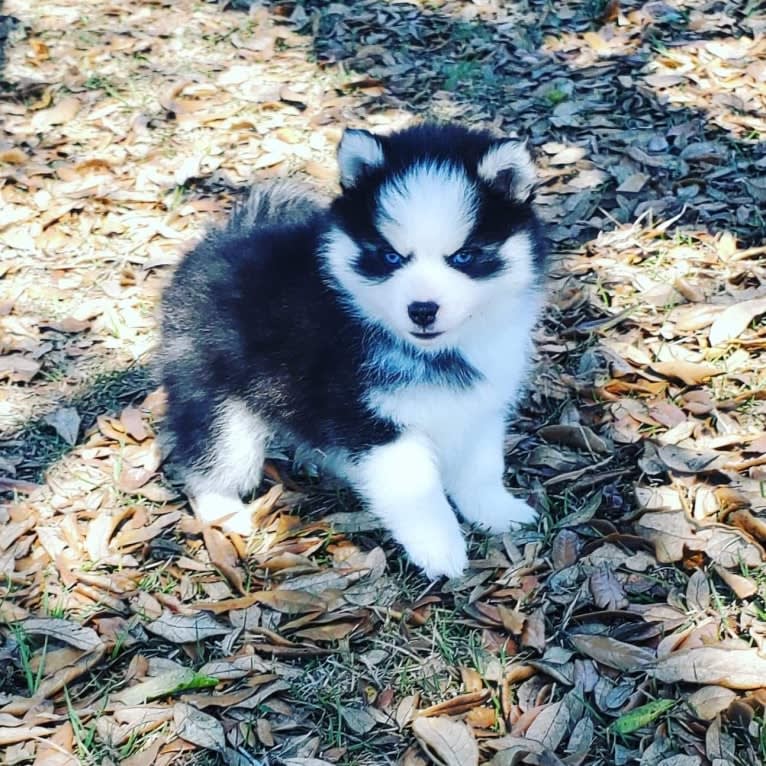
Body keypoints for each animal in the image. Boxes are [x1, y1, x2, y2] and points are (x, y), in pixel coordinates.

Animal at [159, 121, 548, 576]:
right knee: (211, 456)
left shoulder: (480, 405)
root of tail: (222, 238)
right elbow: (416, 489)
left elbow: (481, 467)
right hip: (219, 401)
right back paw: (225, 513)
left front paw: (494, 510)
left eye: (464, 256)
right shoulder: (371, 420)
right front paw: (440, 546)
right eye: (390, 257)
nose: (422, 309)